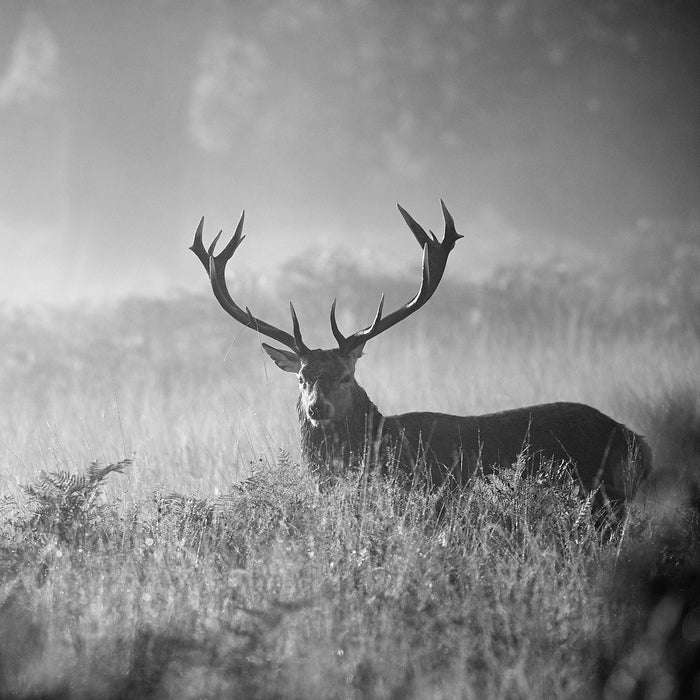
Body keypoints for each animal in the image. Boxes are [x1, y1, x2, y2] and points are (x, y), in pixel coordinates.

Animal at [190, 200, 652, 506]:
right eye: (302, 378)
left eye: (346, 376)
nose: (317, 408)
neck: (383, 446)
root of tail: (637, 442)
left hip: (601, 494)